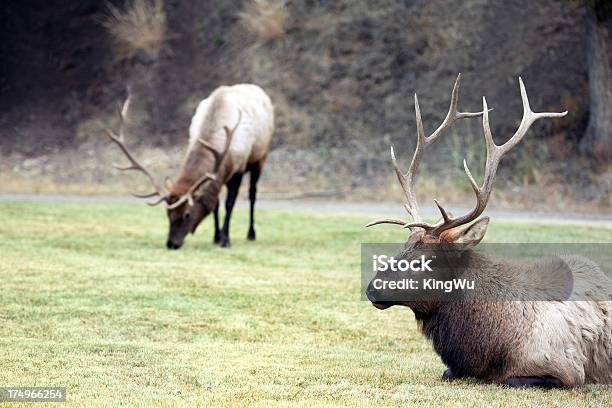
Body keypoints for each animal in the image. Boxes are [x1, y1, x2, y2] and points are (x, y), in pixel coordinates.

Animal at [107, 84, 274, 249]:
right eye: (168, 213)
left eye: (187, 214)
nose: (171, 244)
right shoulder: (216, 177)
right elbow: (215, 204)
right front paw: (216, 237)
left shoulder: (238, 169)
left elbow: (229, 204)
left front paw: (225, 240)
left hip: (260, 158)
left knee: (252, 194)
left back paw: (251, 234)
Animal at [366, 75, 608, 388]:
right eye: (402, 248)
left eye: (422, 261)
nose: (371, 289)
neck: (489, 346)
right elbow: (448, 372)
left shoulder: (566, 369)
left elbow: (509, 379)